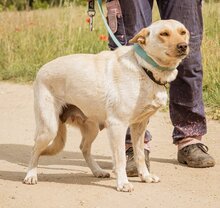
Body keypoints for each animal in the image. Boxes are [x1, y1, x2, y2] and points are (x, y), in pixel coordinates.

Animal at [23, 19, 189, 192]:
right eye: (164, 34)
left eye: (183, 32)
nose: (183, 46)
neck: (143, 68)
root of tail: (41, 69)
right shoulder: (118, 125)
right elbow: (121, 158)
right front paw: (123, 183)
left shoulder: (139, 126)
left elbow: (140, 155)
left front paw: (145, 176)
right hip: (49, 128)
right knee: (35, 149)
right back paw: (31, 175)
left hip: (92, 129)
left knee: (84, 148)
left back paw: (97, 171)